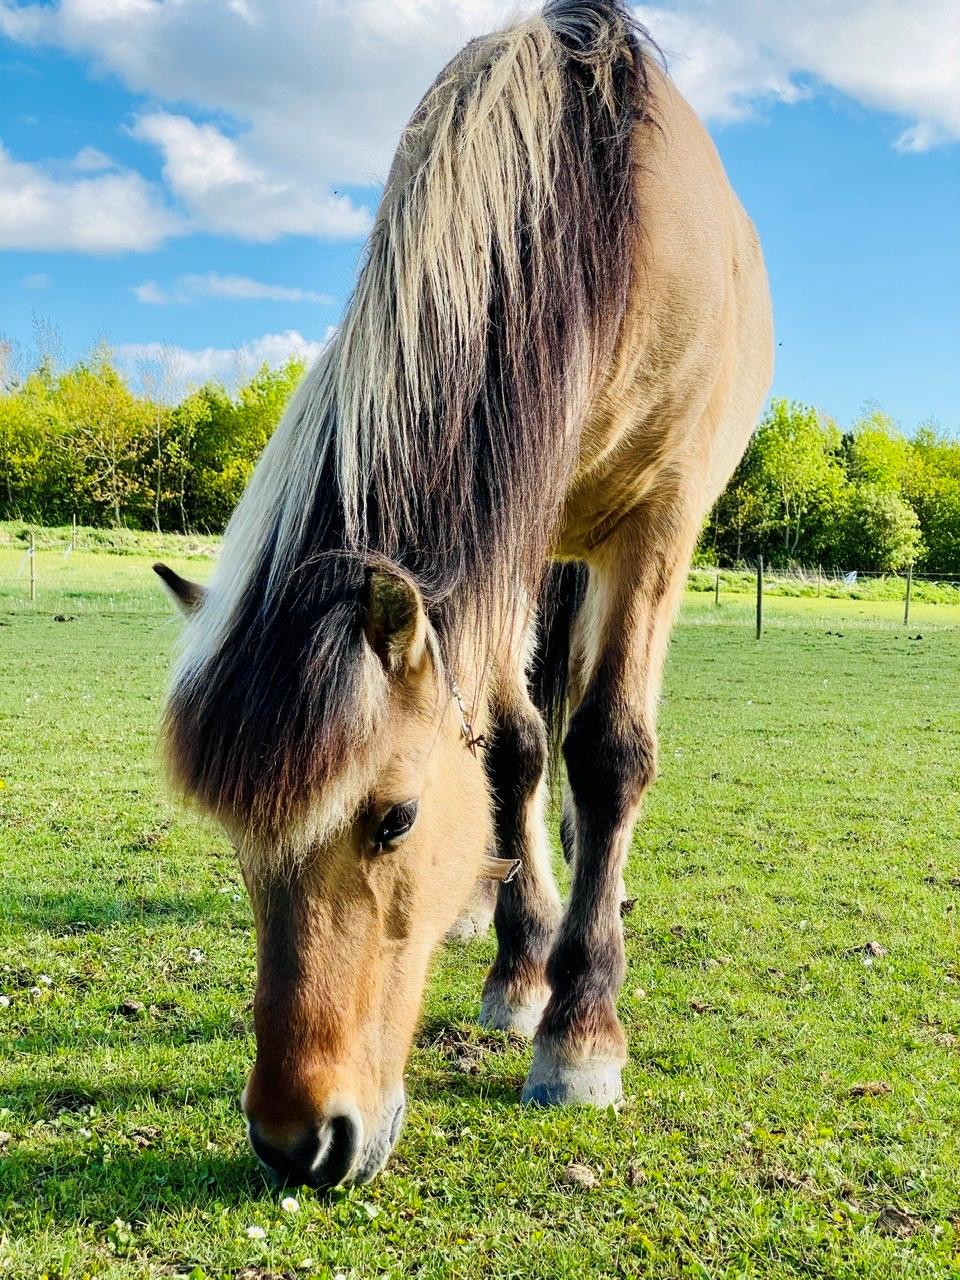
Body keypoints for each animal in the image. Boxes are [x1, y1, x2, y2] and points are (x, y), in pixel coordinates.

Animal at [156, 0, 773, 1187]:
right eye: (237, 842)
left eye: (392, 819)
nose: (297, 1140)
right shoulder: (508, 533)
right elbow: (512, 751)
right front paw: (522, 969)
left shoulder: (658, 525)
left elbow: (609, 752)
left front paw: (582, 1032)